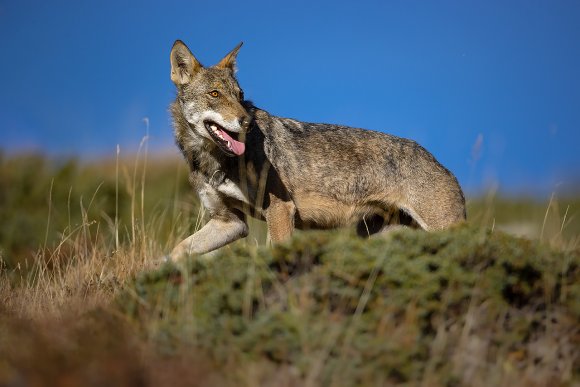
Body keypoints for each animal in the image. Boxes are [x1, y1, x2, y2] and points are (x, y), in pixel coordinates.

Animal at [165, 40, 464, 260]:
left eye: (239, 96)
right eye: (214, 94)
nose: (246, 122)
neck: (213, 161)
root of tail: (443, 165)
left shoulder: (280, 211)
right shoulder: (230, 223)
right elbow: (178, 250)